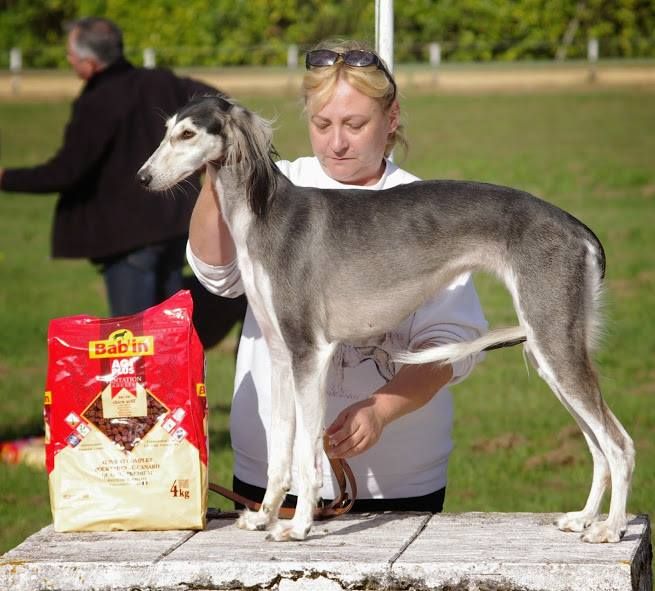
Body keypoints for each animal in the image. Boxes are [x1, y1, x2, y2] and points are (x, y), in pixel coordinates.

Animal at [138, 96, 636, 544]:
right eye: (166, 131)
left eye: (188, 135)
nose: (142, 178)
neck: (266, 213)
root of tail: (575, 227)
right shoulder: (282, 357)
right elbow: (280, 450)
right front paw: (264, 517)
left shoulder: (308, 353)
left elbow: (306, 455)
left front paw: (298, 527)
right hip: (549, 349)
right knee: (598, 447)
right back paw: (584, 518)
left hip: (555, 344)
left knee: (619, 445)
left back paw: (610, 529)